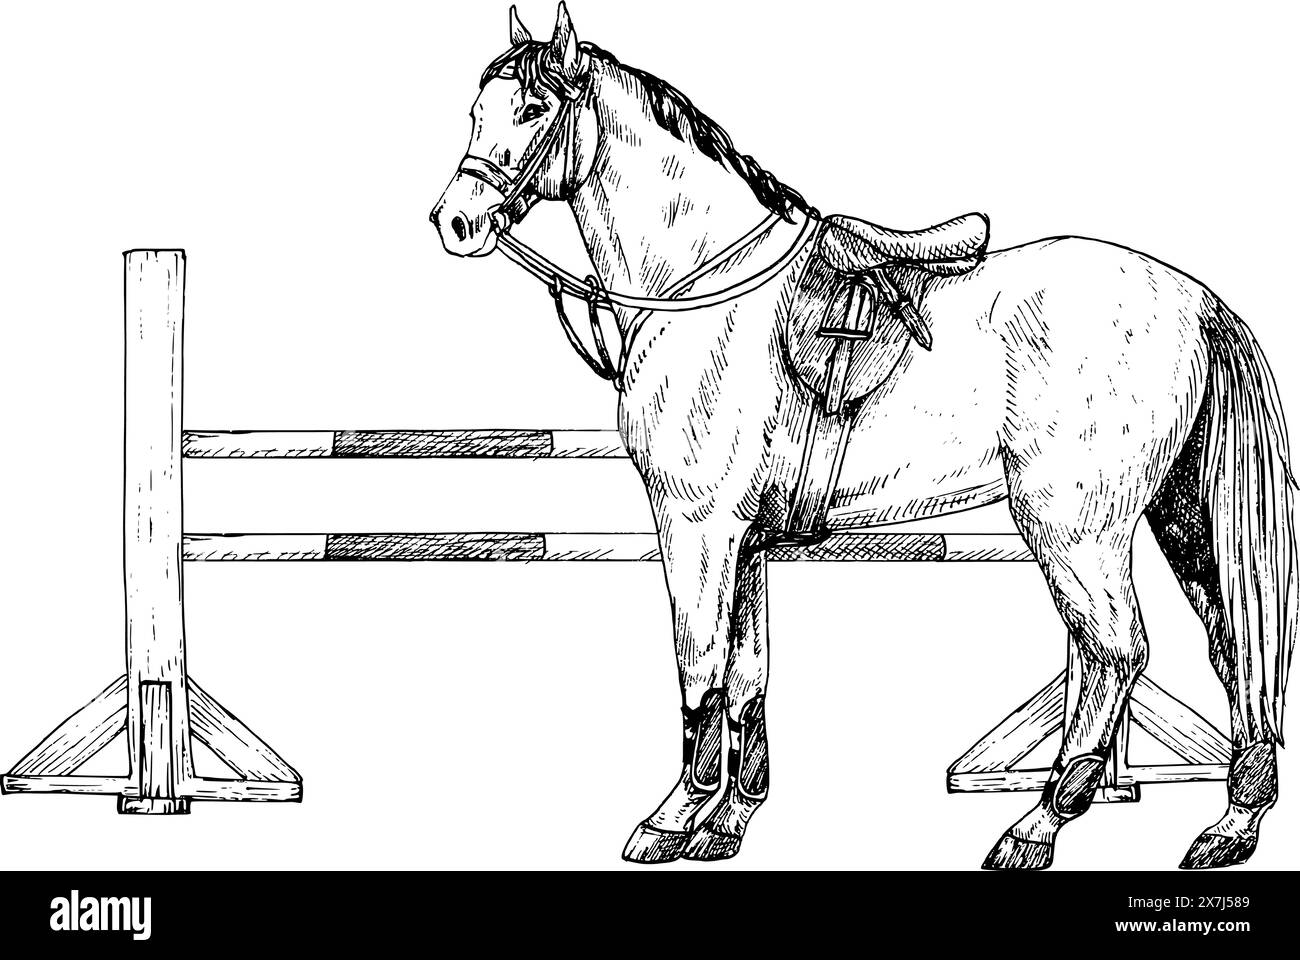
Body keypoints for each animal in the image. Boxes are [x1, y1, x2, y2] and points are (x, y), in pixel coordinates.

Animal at [431, 3, 1296, 869]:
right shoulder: (745, 544)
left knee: (1115, 652)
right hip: (1179, 516)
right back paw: (1230, 825)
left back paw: (1039, 824)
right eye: (476, 111)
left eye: (534, 108)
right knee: (1231, 642)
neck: (705, 284)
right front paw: (728, 821)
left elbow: (699, 670)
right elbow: (747, 678)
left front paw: (672, 818)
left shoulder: (695, 528)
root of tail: (1195, 300)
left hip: (1075, 528)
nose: (455, 221)